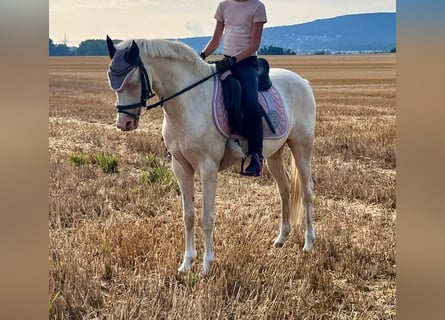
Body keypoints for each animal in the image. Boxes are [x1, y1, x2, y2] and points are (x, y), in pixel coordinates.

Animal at [105, 37, 316, 272]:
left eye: (132, 81)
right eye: (111, 79)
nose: (124, 124)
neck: (188, 102)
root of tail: (302, 81)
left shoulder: (208, 168)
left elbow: (207, 217)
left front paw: (207, 264)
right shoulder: (181, 167)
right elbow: (188, 215)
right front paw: (186, 263)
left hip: (301, 148)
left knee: (306, 192)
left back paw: (308, 243)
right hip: (274, 155)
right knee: (285, 189)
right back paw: (281, 238)